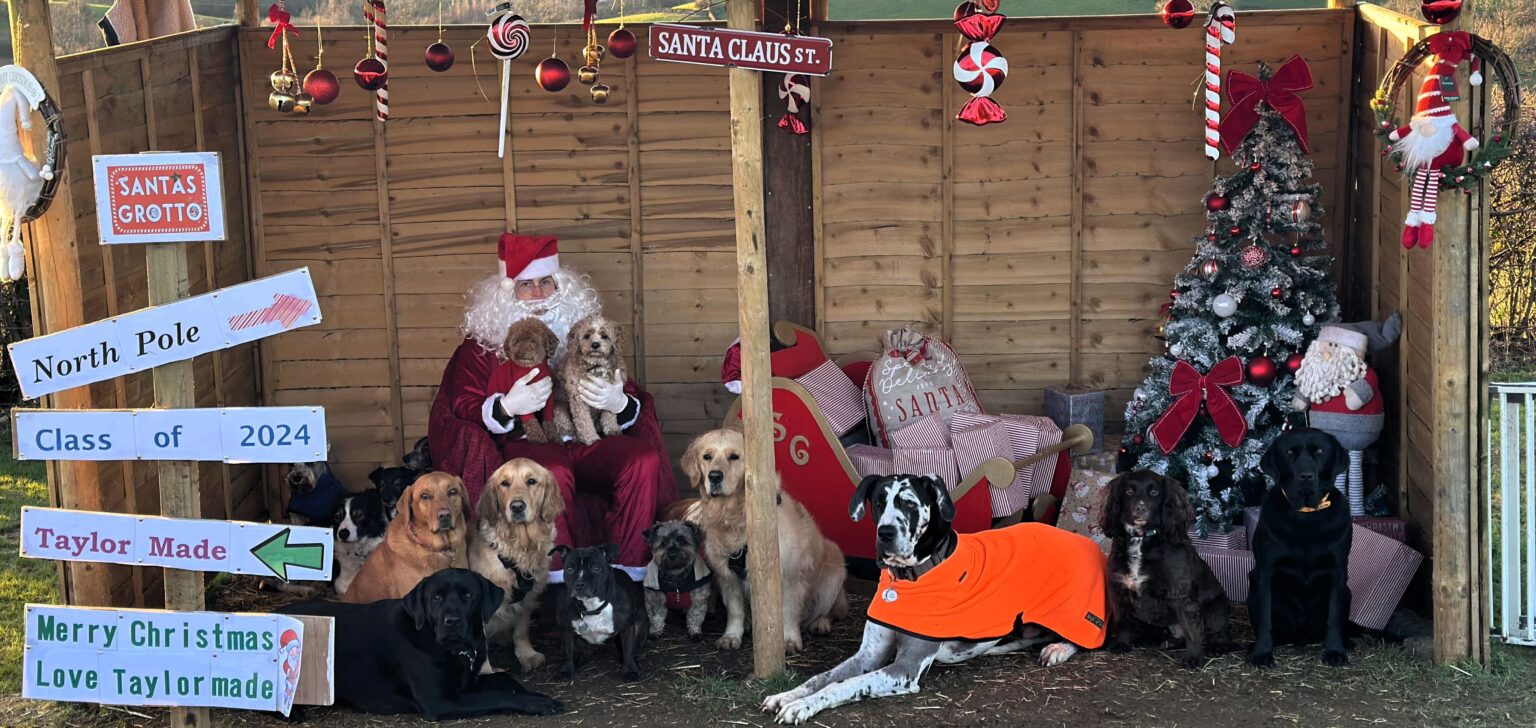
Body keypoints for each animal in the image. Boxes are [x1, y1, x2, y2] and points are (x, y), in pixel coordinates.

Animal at [764, 476, 1081, 724]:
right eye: (878, 502)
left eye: (909, 504)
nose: (886, 533)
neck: (906, 580)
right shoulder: (869, 654)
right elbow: (822, 677)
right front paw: (787, 695)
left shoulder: (907, 667)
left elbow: (842, 685)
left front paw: (801, 707)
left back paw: (1057, 649)